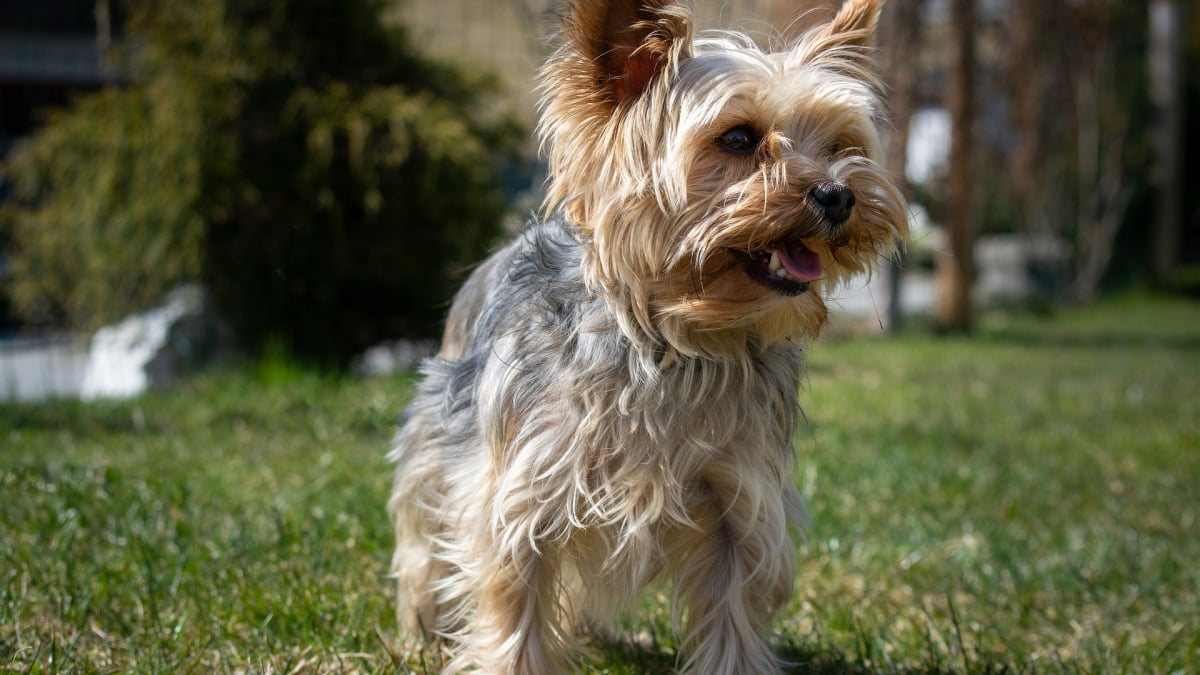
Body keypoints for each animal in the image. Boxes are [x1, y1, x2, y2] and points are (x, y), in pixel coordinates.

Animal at [388, 1, 902, 667]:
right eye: (739, 139)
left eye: (841, 144)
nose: (838, 195)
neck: (675, 341)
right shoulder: (520, 496)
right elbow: (514, 611)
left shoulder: (740, 505)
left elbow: (733, 621)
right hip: (437, 443)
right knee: (421, 545)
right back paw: (418, 632)